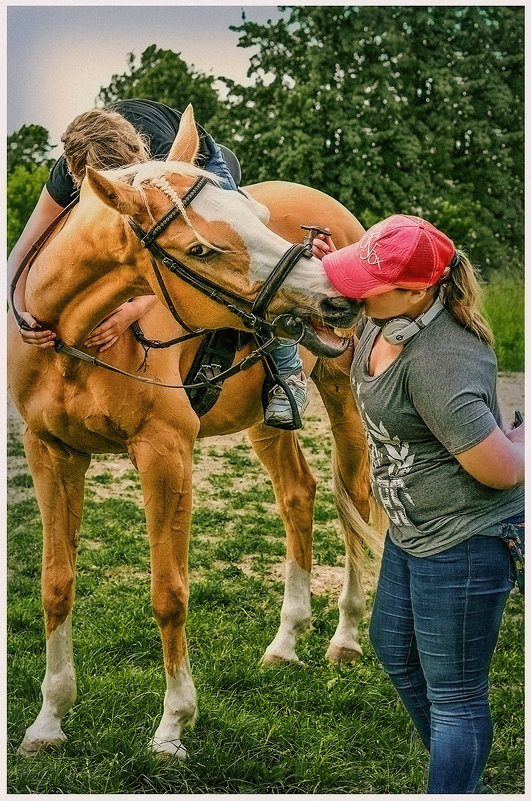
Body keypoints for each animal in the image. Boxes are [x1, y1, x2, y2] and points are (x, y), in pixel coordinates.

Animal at [9, 106, 382, 756]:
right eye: (201, 249)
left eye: (259, 220)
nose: (337, 297)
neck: (75, 341)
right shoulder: (50, 452)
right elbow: (56, 585)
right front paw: (48, 722)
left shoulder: (165, 452)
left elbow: (170, 592)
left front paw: (173, 725)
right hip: (264, 421)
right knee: (298, 495)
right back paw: (286, 641)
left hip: (343, 398)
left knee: (354, 499)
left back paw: (345, 636)